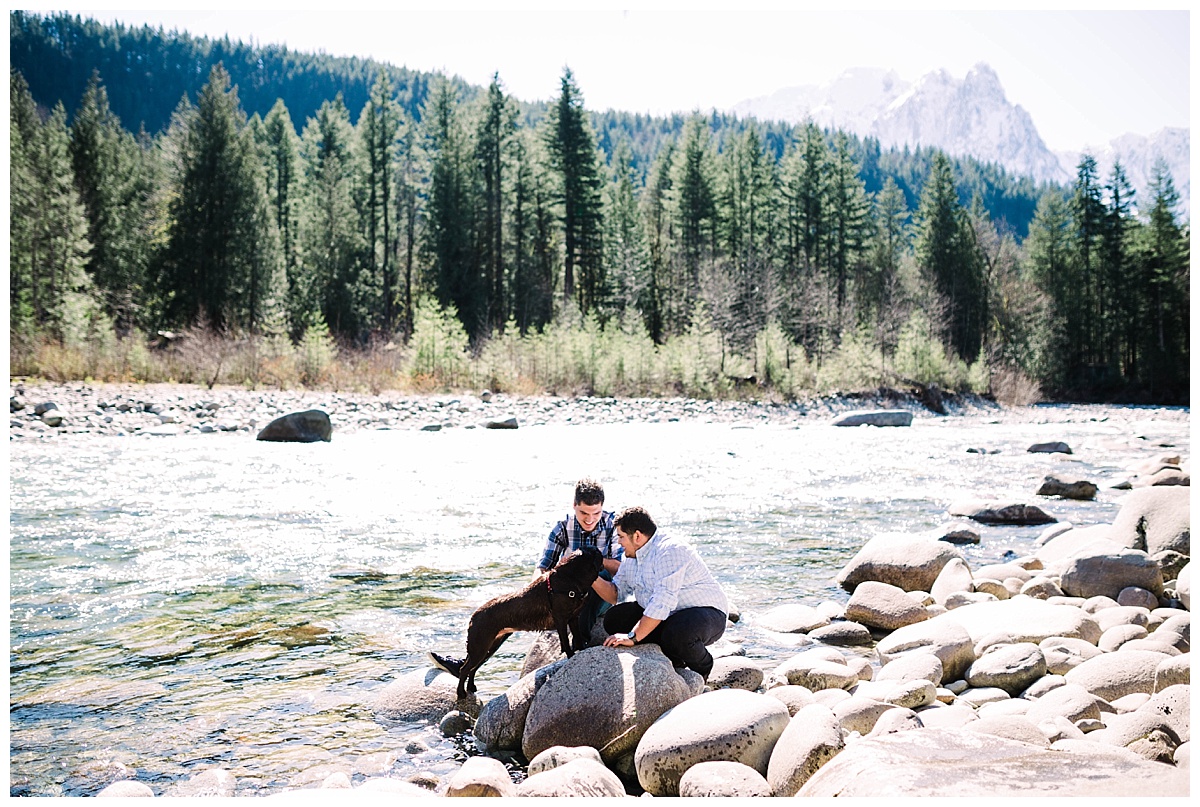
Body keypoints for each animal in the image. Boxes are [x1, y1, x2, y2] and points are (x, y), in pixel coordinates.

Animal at [453, 547, 604, 701]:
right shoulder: (561, 619)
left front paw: (581, 651)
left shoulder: (573, 618)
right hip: (480, 646)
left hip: (490, 646)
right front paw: (571, 655)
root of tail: (474, 616)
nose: (602, 552)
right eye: (597, 554)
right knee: (465, 669)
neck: (571, 579)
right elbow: (566, 643)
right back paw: (461, 693)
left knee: (473, 668)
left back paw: (471, 687)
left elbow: (578, 638)